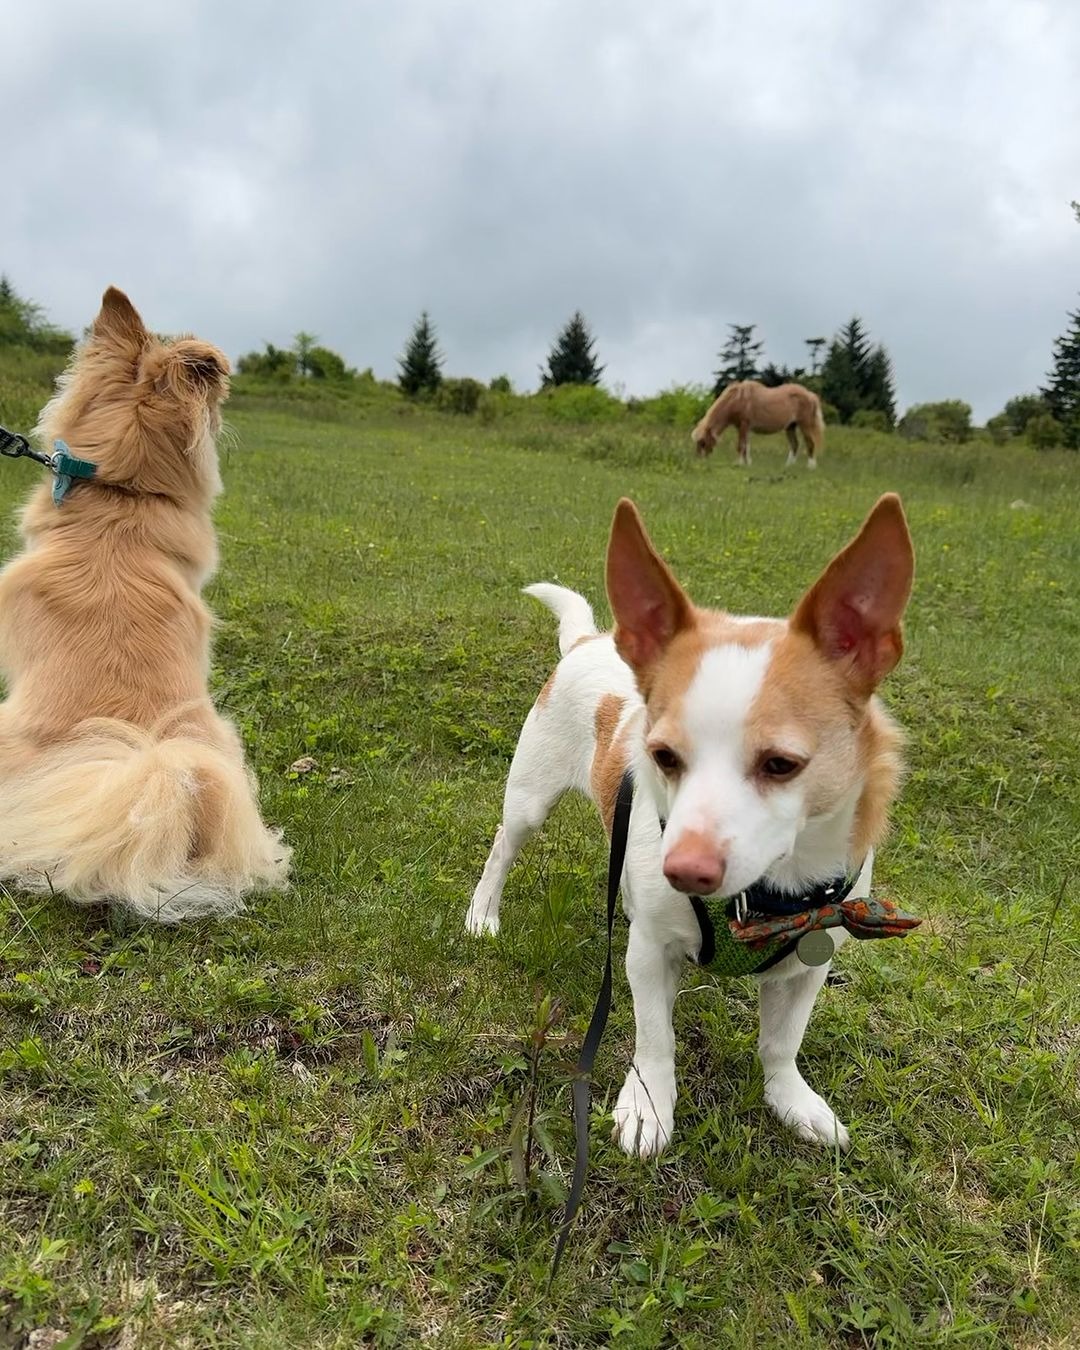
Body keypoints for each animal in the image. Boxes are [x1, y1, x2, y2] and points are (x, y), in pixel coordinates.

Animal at [467, 502, 918, 1155]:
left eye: (782, 764)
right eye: (662, 756)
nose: (682, 871)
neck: (768, 894)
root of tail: (590, 638)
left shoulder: (810, 961)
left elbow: (782, 1042)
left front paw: (790, 1099)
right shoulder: (648, 954)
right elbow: (656, 1039)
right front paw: (648, 1106)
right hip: (529, 799)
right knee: (503, 847)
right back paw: (483, 912)